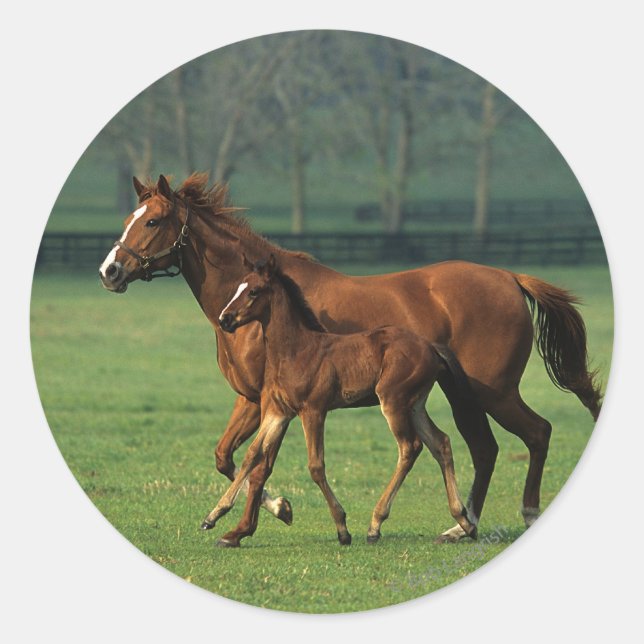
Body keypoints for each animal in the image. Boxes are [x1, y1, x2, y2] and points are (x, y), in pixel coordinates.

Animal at [201, 253, 477, 546]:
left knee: (410, 447)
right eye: (238, 288)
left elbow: (315, 466)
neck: (296, 350)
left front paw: (342, 528)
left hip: (393, 401)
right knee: (440, 442)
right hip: (415, 405)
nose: (225, 319)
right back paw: (464, 521)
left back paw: (375, 525)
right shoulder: (279, 411)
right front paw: (213, 517)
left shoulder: (313, 410)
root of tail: (431, 347)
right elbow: (252, 455)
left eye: (254, 291)